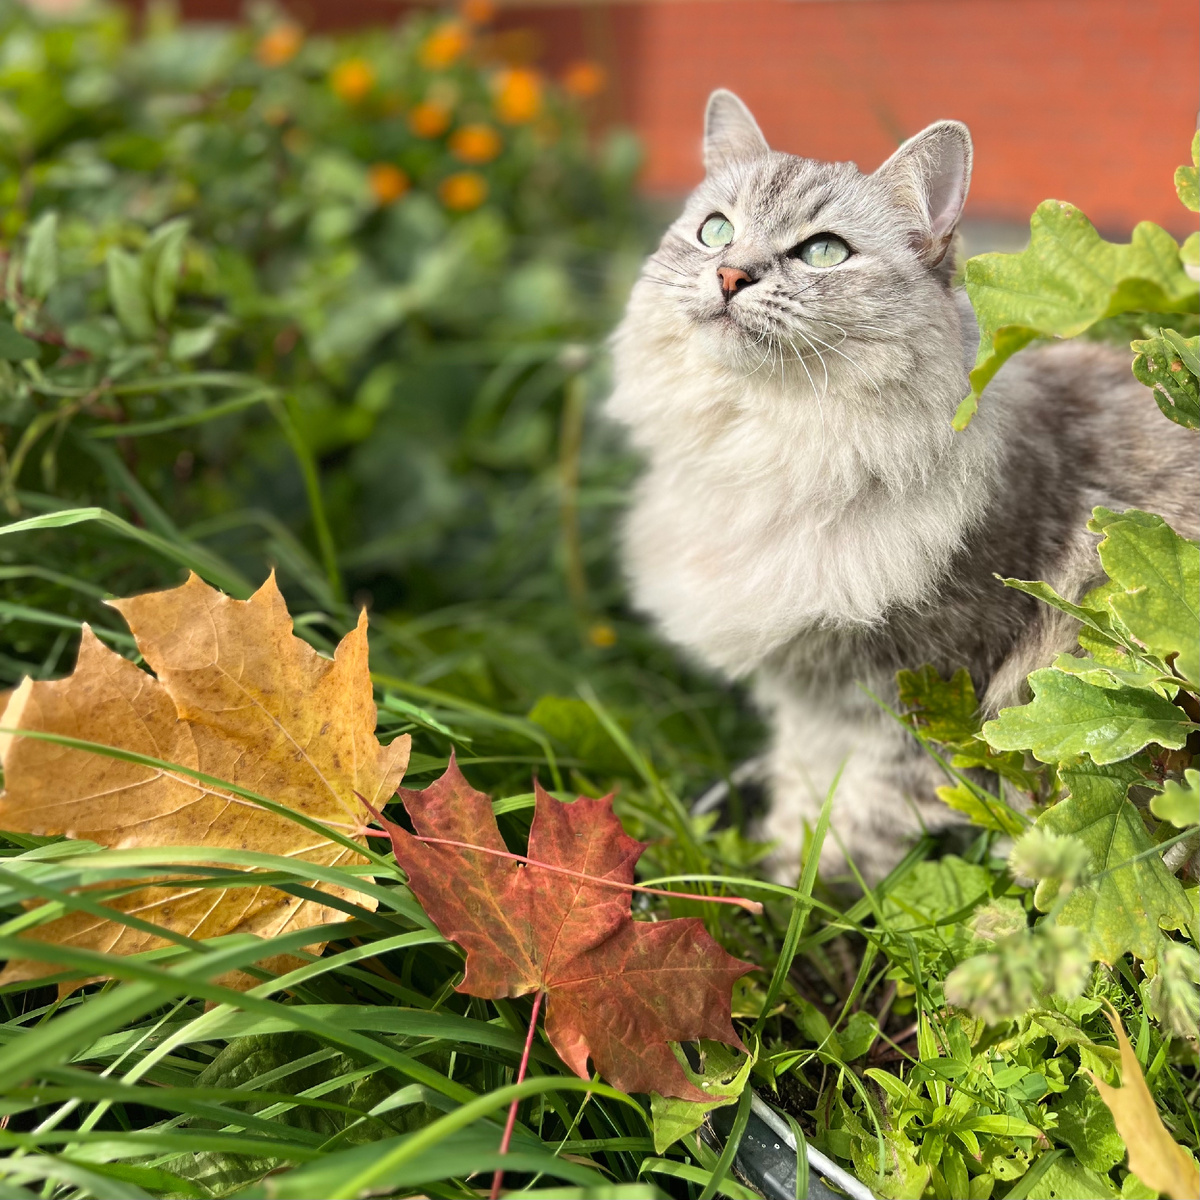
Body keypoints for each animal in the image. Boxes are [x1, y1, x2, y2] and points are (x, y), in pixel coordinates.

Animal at [609, 91, 1200, 883]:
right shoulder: (811, 700)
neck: (778, 452)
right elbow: (802, 789)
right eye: (716, 231)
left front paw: (790, 898)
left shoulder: (918, 693)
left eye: (823, 251)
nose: (731, 275)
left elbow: (852, 831)